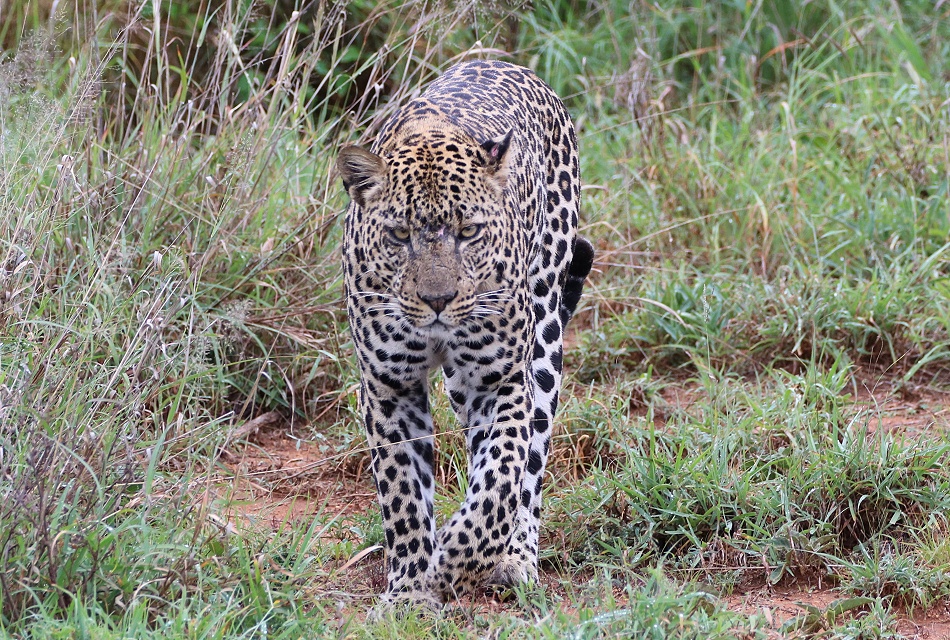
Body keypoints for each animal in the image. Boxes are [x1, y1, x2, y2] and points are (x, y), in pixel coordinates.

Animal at [337, 59, 593, 609]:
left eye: (469, 231)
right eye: (399, 235)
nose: (438, 300)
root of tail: (501, 60)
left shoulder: (500, 379)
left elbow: (501, 475)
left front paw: (457, 555)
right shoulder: (389, 387)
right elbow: (403, 494)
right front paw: (411, 589)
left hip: (544, 330)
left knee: (529, 463)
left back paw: (514, 556)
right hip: (457, 384)